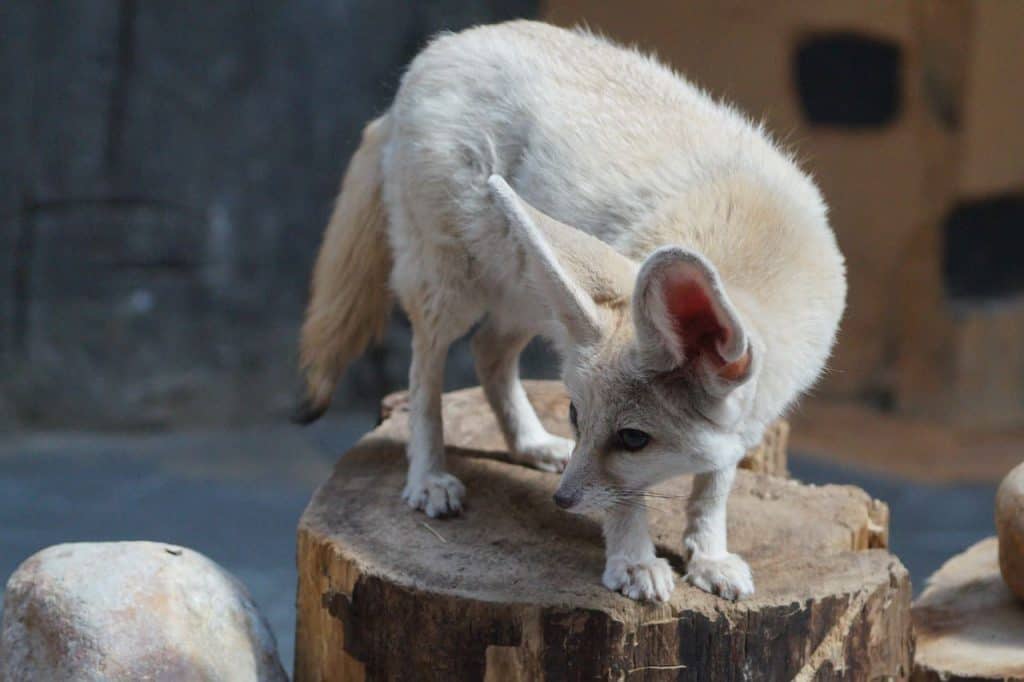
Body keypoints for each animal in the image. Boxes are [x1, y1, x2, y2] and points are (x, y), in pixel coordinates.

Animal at [294, 21, 846, 603]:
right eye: (577, 415)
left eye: (632, 438)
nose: (561, 500)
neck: (757, 245)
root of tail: (439, 48)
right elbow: (628, 500)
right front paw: (633, 561)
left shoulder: (744, 425)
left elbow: (712, 488)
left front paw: (709, 555)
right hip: (452, 292)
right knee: (426, 373)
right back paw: (427, 476)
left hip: (531, 293)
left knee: (488, 351)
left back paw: (530, 443)